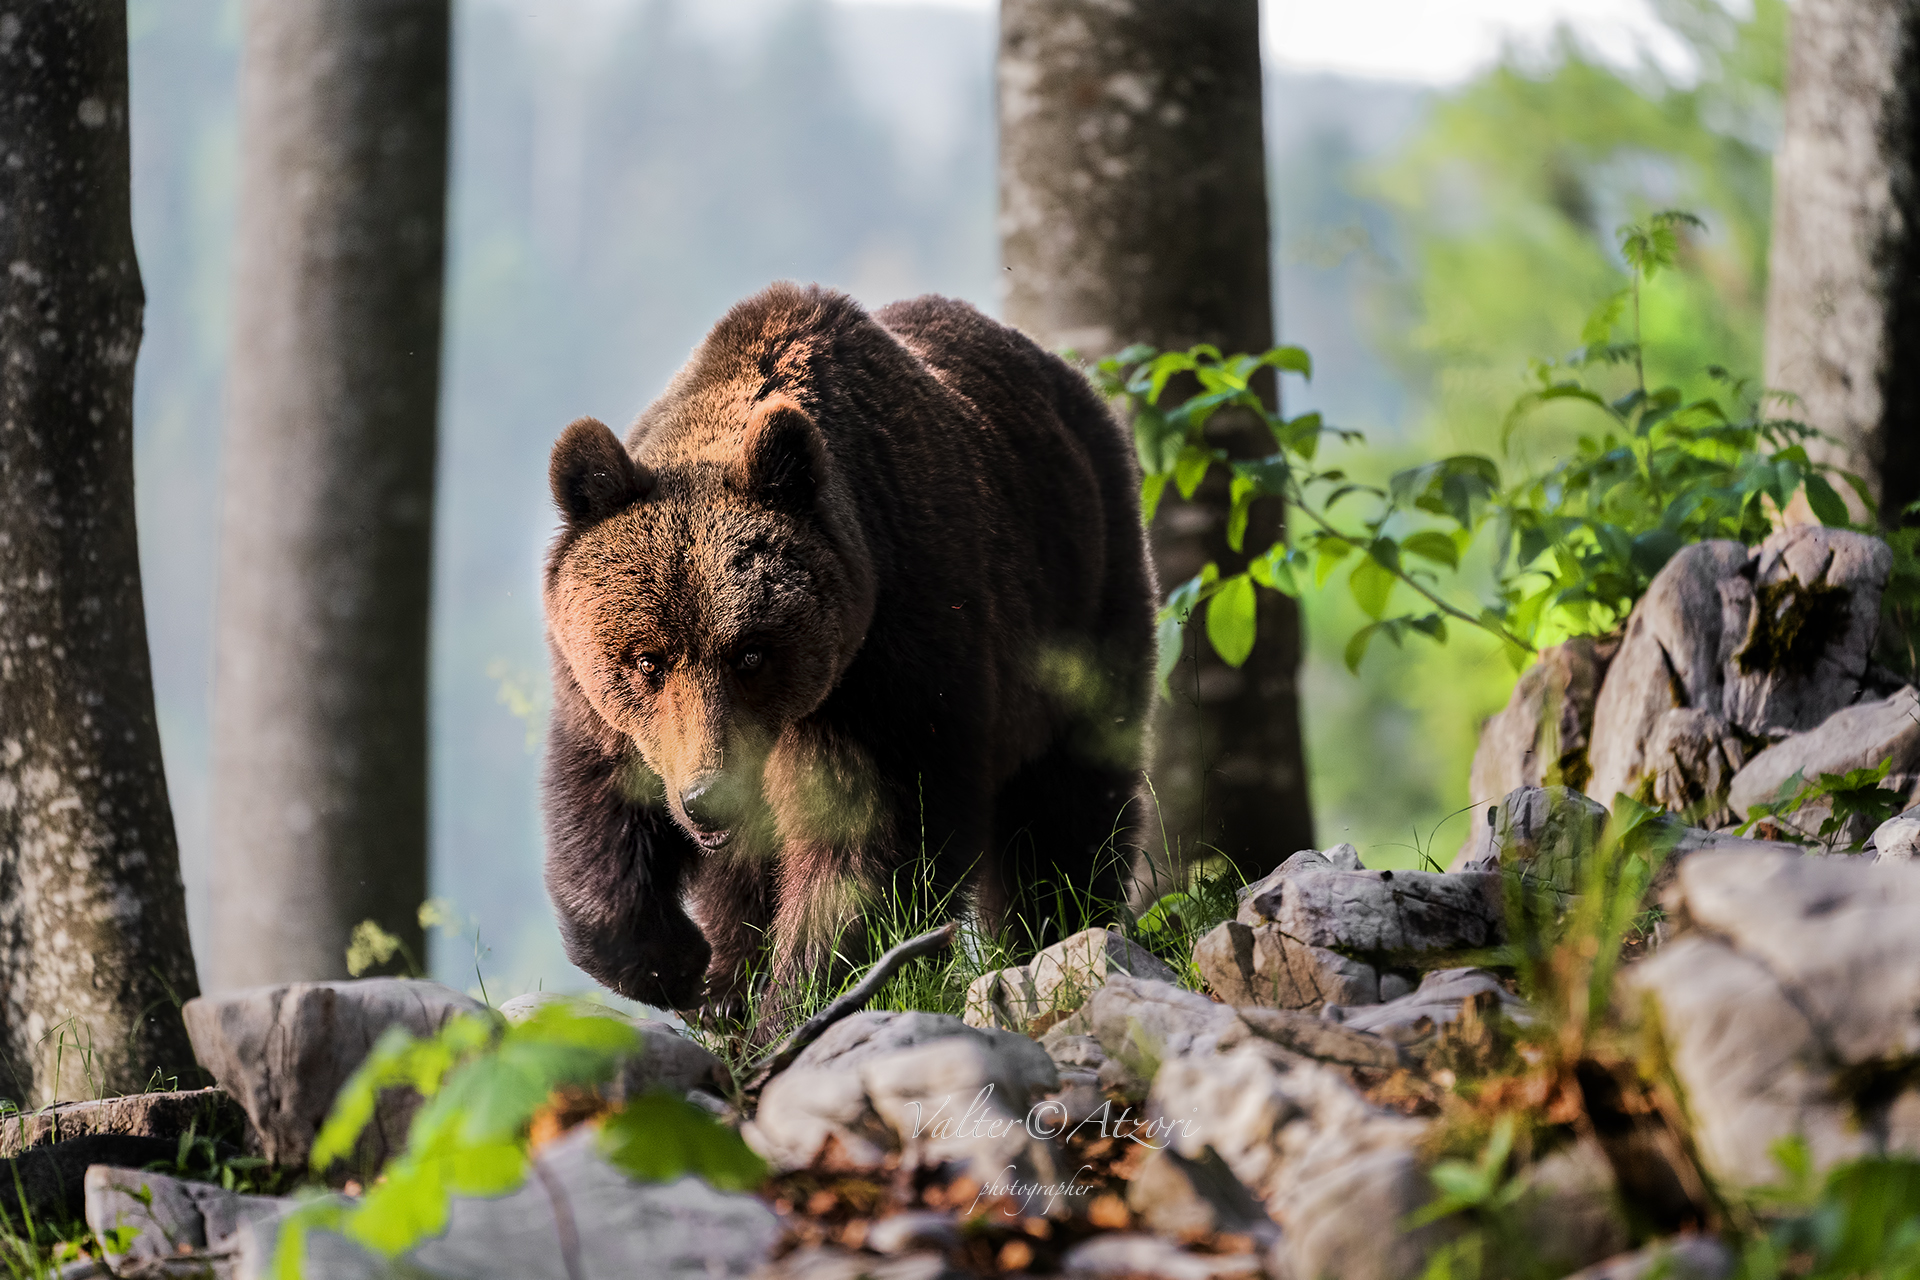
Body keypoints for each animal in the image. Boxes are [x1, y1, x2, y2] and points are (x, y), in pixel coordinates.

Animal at [540, 282, 1155, 1026]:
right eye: (646, 660)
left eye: (751, 653)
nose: (706, 800)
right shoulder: (603, 705)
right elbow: (600, 805)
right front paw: (680, 967)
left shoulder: (888, 667)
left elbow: (868, 845)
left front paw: (800, 995)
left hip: (1081, 594)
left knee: (1068, 796)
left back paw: (1060, 923)